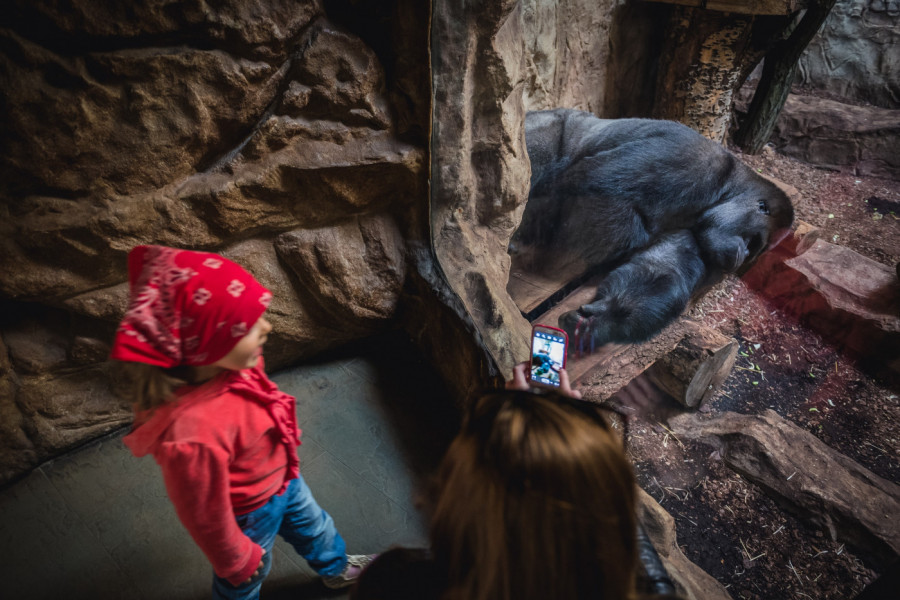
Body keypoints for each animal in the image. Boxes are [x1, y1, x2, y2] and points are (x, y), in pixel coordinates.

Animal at [512, 110, 796, 350]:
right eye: (753, 241)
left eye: (753, 250)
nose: (743, 255)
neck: (727, 187)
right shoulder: (696, 163)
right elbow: (589, 180)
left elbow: (660, 270)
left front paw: (605, 321)